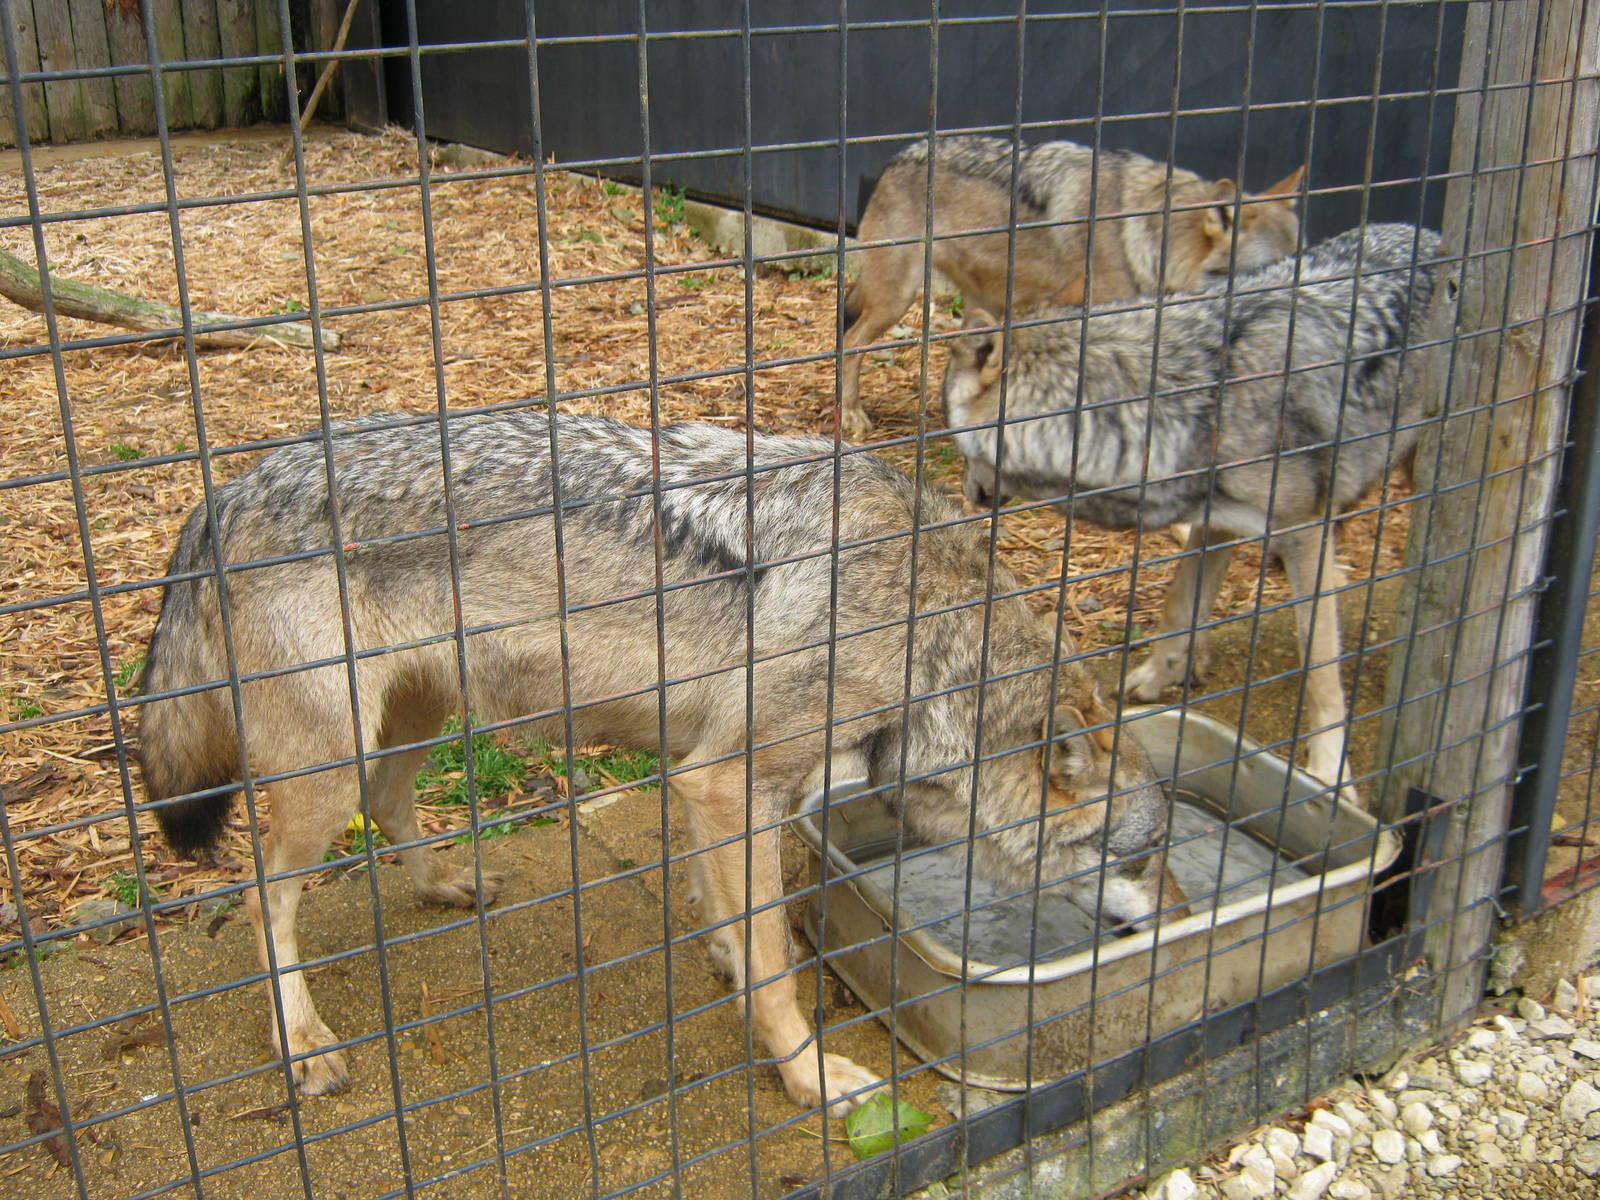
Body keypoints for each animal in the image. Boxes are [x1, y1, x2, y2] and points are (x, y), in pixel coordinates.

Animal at [138, 410, 1186, 1111]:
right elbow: (776, 962)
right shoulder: (729, 780)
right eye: (1139, 857)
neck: (931, 629)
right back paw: (302, 1041)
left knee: (392, 810)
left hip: (411, 723)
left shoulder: (705, 779)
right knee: (260, 897)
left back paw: (444, 885)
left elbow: (734, 917)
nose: (1182, 912)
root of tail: (221, 493)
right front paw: (807, 1076)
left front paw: (726, 960)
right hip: (328, 770)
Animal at [838, 134, 1305, 439]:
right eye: (1275, 269)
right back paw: (850, 415)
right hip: (898, 299)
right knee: (851, 340)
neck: (1151, 241)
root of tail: (898, 157)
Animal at [941, 223, 1443, 802]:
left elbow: (1319, 663)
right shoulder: (1216, 521)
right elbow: (1180, 610)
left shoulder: (1303, 532)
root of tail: (1425, 232)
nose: (967, 493)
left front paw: (1330, 770)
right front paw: (1156, 678)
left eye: (954, 437)